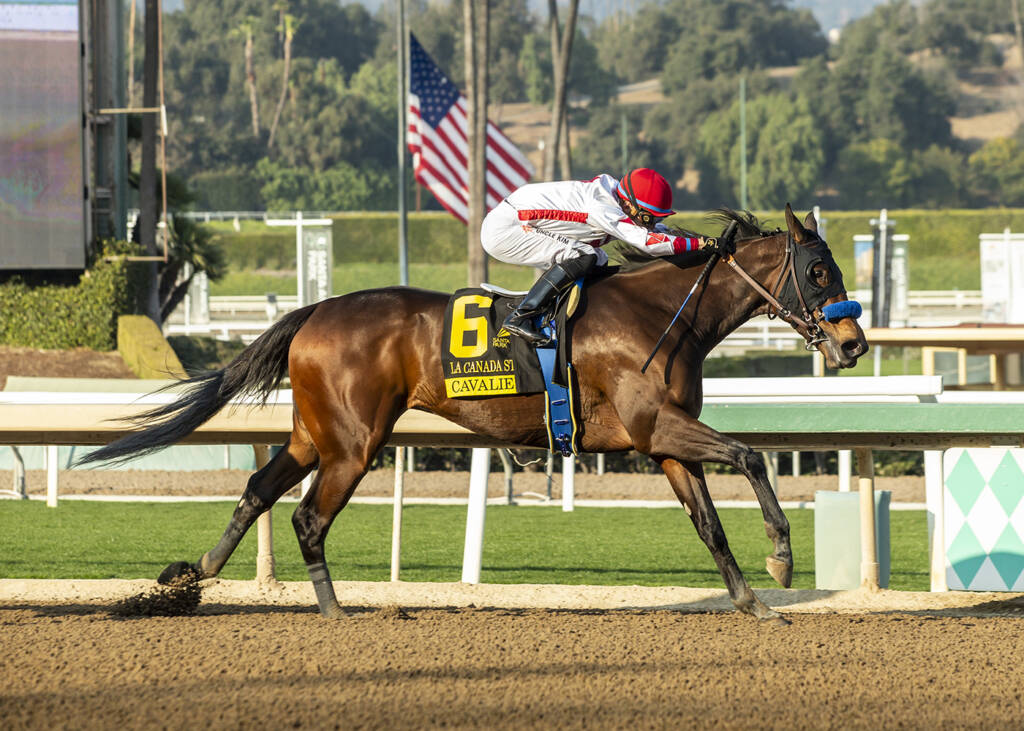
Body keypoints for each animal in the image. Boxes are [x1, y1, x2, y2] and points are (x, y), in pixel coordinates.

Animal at [79, 203, 868, 622]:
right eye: (818, 271)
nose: (854, 342)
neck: (665, 313)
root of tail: (314, 311)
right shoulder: (658, 427)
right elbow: (751, 454)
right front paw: (783, 557)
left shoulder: (664, 444)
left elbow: (709, 524)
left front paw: (752, 599)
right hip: (354, 442)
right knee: (306, 517)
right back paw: (334, 610)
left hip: (313, 433)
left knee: (256, 490)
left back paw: (193, 575)